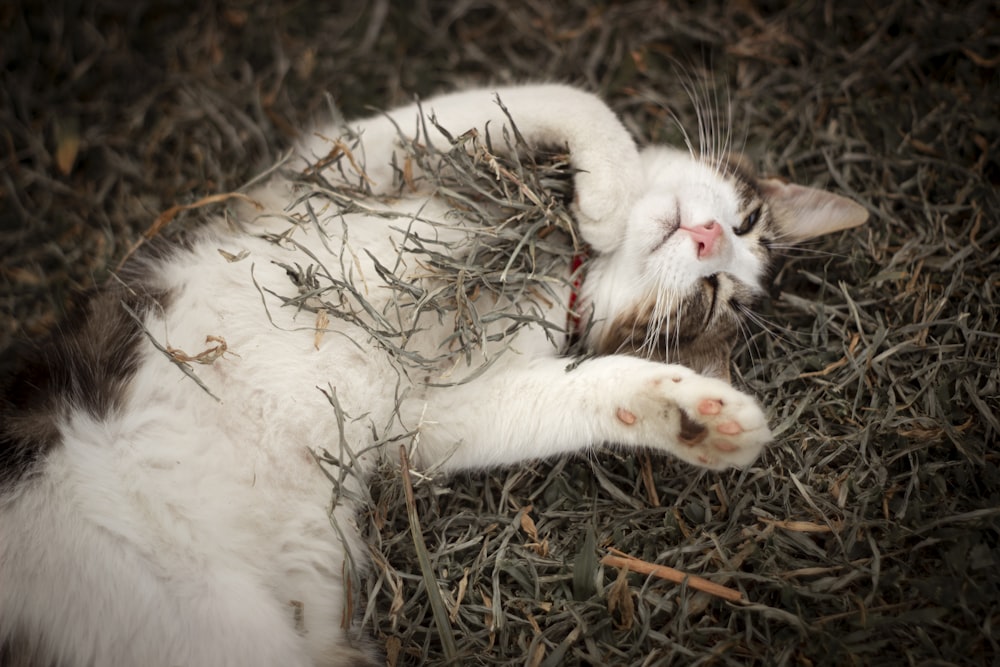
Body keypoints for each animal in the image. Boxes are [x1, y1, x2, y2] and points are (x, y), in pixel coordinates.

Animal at [0, 85, 864, 667]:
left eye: (718, 294)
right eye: (745, 222)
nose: (711, 234)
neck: (558, 270)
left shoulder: (433, 416)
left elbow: (575, 389)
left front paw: (697, 415)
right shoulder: (340, 157)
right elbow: (572, 99)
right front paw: (605, 199)